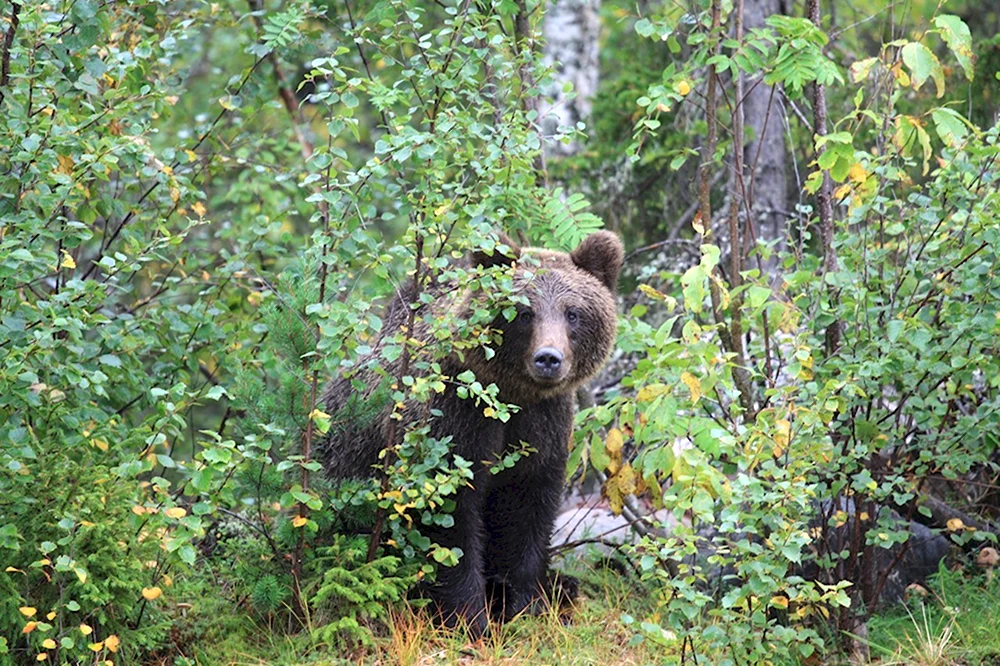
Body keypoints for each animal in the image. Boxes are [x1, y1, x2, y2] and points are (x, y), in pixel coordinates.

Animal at [320, 231, 620, 636]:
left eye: (573, 313)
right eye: (524, 313)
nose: (548, 358)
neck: (509, 395)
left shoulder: (542, 424)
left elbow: (526, 510)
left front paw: (524, 606)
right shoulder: (452, 417)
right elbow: (449, 521)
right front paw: (470, 619)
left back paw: (563, 587)